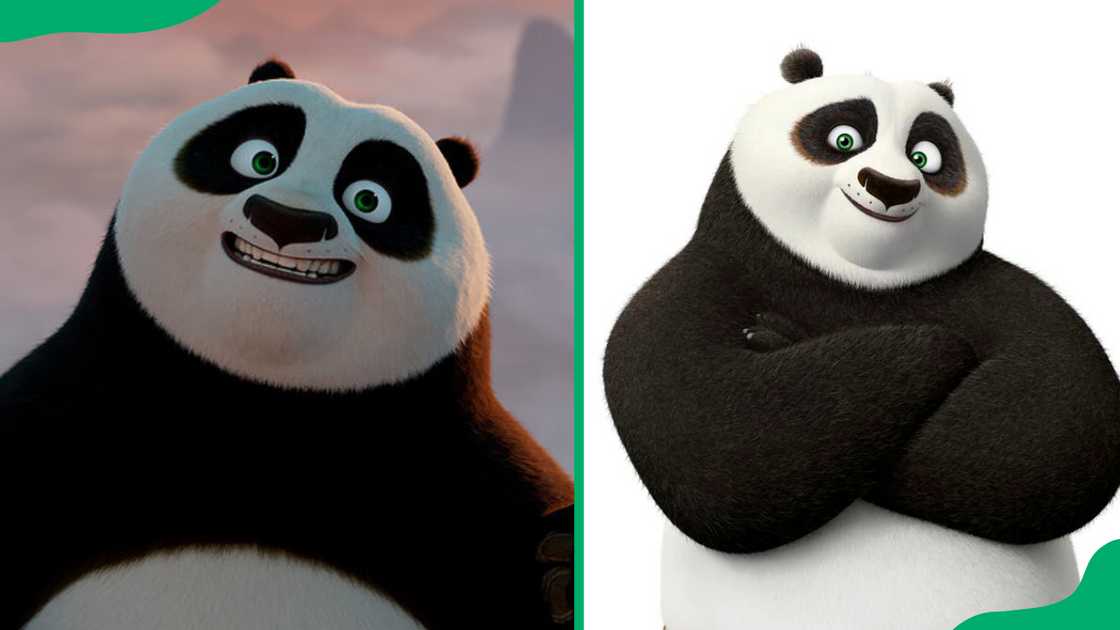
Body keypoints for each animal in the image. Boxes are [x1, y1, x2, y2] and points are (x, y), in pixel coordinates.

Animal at [0, 60, 574, 630]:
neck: (263, 402)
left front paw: (564, 570)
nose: (286, 220)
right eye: (260, 159)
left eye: (370, 200)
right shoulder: (58, 416)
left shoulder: (473, 475)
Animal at [603, 48, 1120, 630]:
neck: (855, 280)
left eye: (925, 157)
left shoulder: (1004, 293)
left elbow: (1048, 432)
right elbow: (718, 447)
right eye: (844, 138)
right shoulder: (690, 288)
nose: (891, 186)